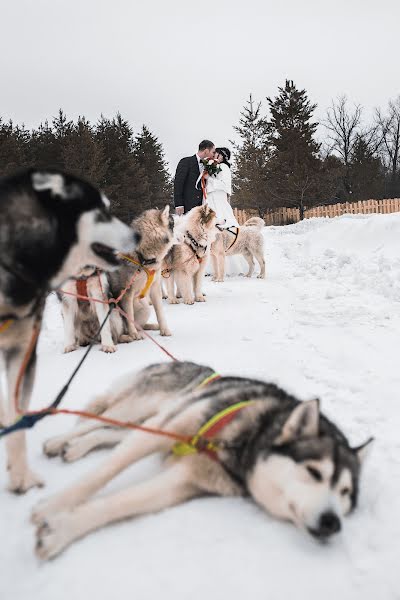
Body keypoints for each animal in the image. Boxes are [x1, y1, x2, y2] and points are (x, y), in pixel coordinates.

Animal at [0, 168, 139, 492]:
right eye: (100, 214)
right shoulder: (69, 302)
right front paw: (67, 346)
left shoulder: (99, 297)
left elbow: (105, 330)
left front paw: (108, 345)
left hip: (114, 315)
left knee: (113, 326)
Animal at [34, 358, 372, 560]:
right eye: (314, 472)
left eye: (345, 492)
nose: (333, 522)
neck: (247, 439)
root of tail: (187, 363)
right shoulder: (168, 428)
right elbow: (104, 472)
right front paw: (51, 506)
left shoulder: (185, 481)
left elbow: (121, 503)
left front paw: (60, 530)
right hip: (142, 412)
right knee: (92, 421)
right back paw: (57, 441)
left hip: (143, 423)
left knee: (104, 433)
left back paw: (75, 447)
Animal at [57, 206, 176, 352]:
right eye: (174, 224)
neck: (141, 257)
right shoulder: (126, 294)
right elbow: (129, 318)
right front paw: (134, 335)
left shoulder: (154, 288)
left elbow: (160, 313)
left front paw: (164, 330)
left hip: (143, 309)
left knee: (138, 325)